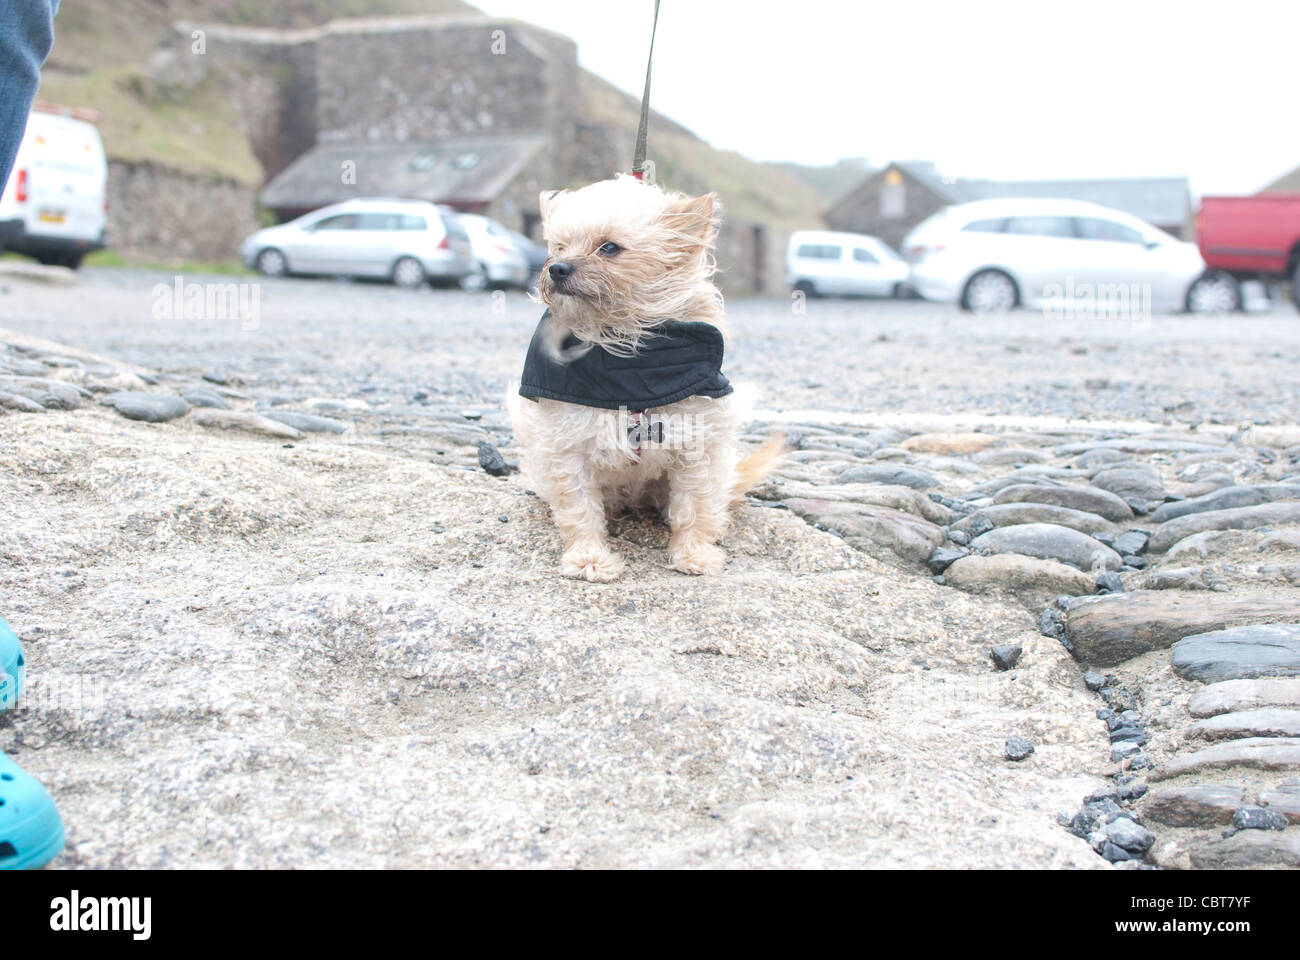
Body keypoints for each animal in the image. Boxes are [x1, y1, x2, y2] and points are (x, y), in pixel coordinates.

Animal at [504, 174, 780, 580]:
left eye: (609, 248)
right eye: (558, 246)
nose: (557, 268)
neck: (630, 373)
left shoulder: (696, 448)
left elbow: (694, 507)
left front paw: (694, 554)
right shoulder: (569, 449)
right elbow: (579, 509)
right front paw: (589, 558)